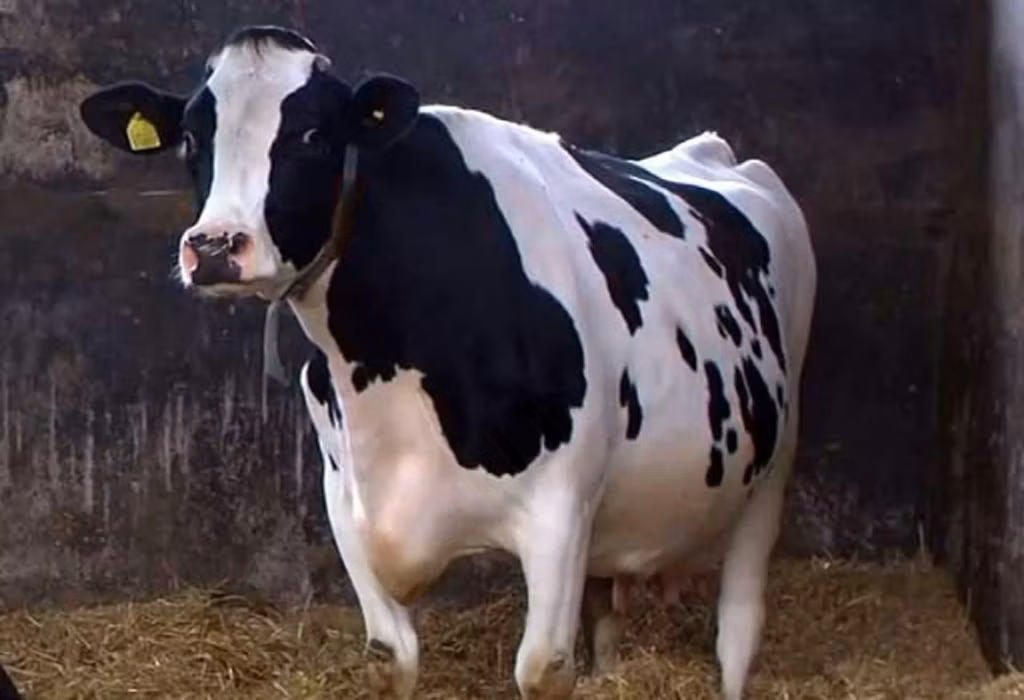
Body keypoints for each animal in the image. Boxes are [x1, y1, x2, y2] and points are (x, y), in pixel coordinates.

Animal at [78, 25, 816, 700]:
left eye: (313, 135)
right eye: (192, 138)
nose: (215, 246)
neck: (389, 368)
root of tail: (714, 151)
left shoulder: (560, 507)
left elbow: (543, 668)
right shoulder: (346, 502)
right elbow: (391, 659)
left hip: (770, 469)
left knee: (738, 628)